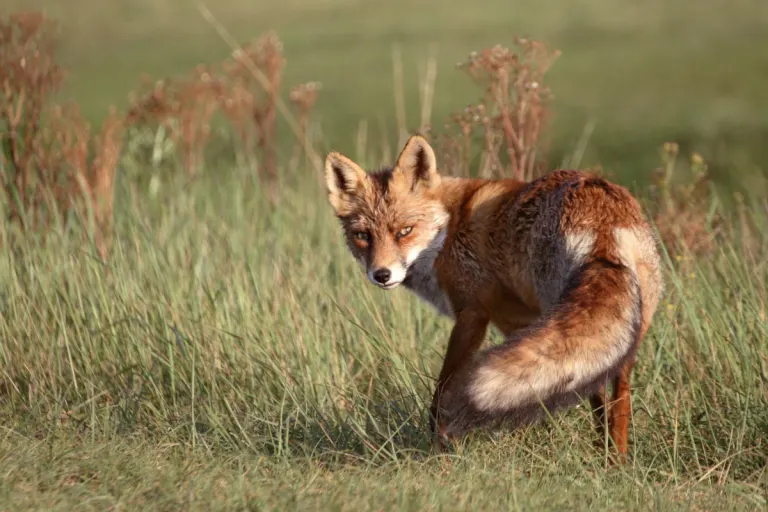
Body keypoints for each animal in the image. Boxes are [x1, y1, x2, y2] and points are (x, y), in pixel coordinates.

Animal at [322, 134, 663, 461]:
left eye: (405, 231)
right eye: (362, 236)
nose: (381, 274)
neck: (450, 227)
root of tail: (603, 219)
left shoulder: (472, 313)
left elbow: (445, 387)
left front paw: (439, 444)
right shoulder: (518, 326)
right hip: (619, 329)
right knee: (614, 390)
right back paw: (615, 459)